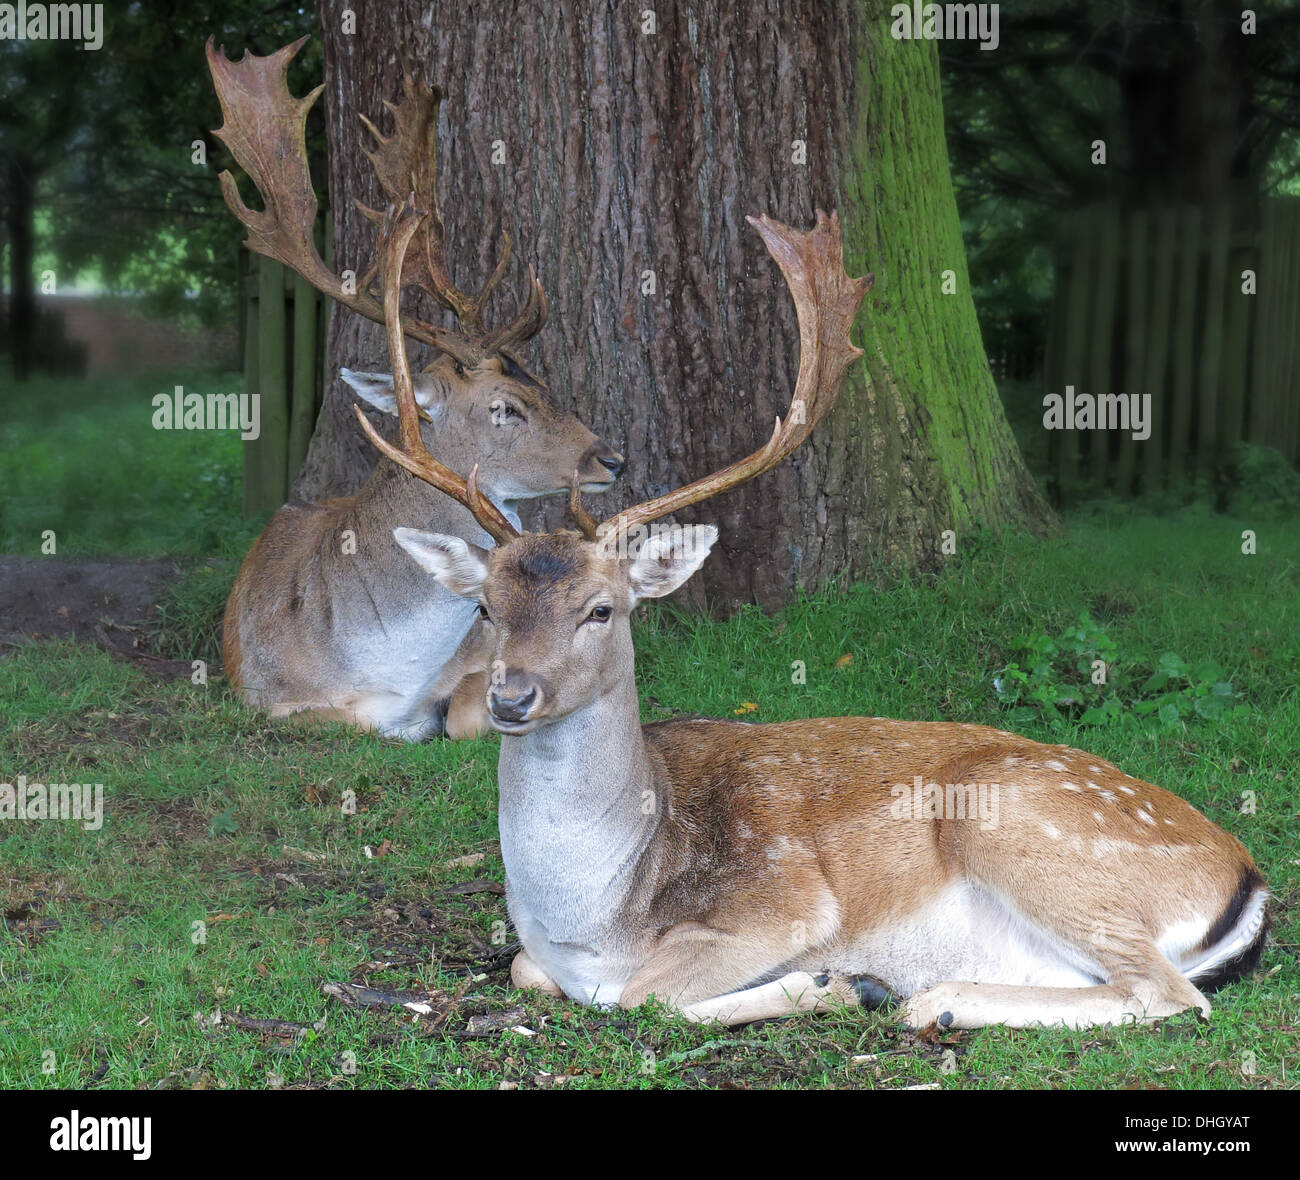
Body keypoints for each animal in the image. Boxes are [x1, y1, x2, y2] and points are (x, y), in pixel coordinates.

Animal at [206, 41, 618, 743]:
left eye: (544, 382)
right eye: (505, 407)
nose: (610, 458)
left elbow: (464, 713)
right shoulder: (266, 694)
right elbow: (355, 721)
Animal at [374, 205, 1268, 1034]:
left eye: (602, 609)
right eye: (485, 605)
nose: (511, 698)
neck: (594, 917)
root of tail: (1249, 881)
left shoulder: (783, 902)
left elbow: (645, 997)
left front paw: (834, 984)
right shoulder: (543, 956)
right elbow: (528, 972)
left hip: (1025, 829)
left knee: (1171, 993)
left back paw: (928, 998)